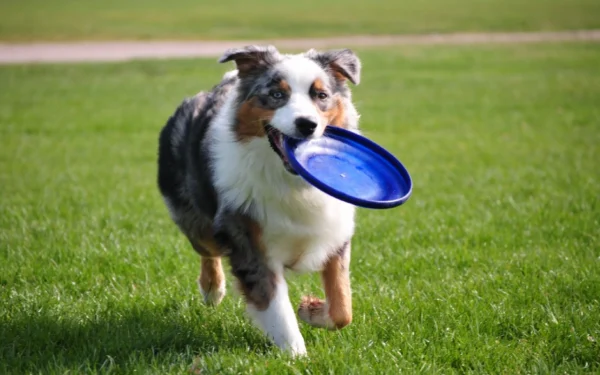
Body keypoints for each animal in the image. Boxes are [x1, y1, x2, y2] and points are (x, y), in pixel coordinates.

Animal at [157, 45, 358, 356]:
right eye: (276, 95)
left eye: (321, 95)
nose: (307, 124)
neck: (290, 182)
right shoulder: (249, 241)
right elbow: (277, 309)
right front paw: (296, 356)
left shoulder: (334, 230)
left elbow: (342, 308)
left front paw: (311, 310)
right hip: (199, 224)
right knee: (208, 251)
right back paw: (212, 290)